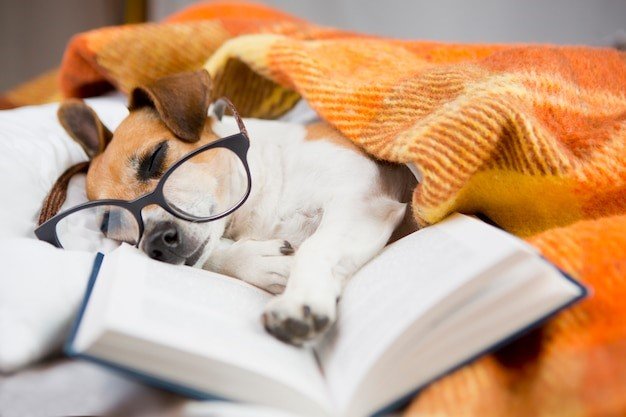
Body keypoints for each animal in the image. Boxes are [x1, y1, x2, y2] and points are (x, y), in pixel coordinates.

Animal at [57, 70, 414, 344]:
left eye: (155, 158)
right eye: (111, 224)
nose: (155, 242)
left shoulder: (360, 200)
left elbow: (316, 247)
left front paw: (300, 301)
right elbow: (213, 254)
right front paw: (261, 261)